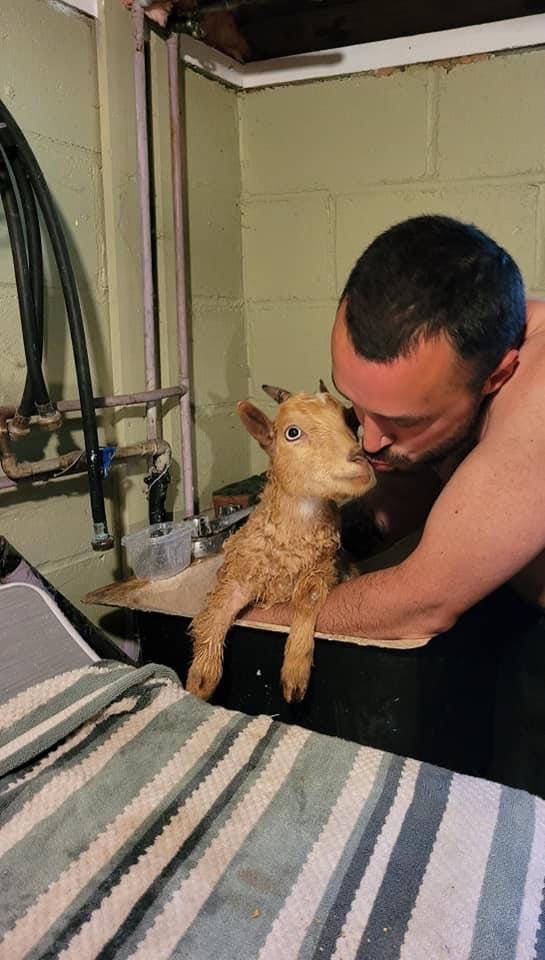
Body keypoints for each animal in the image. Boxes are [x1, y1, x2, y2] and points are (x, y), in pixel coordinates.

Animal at [186, 384, 375, 703]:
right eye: (292, 432)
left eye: (350, 421)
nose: (360, 460)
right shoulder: (240, 575)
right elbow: (216, 612)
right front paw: (200, 681)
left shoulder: (324, 567)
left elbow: (308, 596)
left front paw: (295, 674)